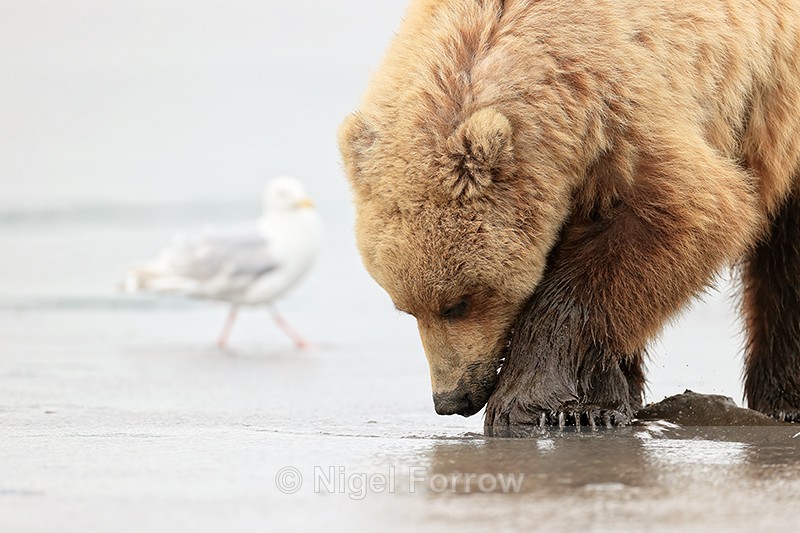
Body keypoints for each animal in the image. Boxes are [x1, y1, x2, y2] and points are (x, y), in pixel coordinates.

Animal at [338, 0, 800, 433]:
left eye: (458, 303)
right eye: (406, 308)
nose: (452, 399)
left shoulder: (623, 122)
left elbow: (684, 216)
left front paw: (535, 403)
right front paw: (601, 399)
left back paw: (784, 401)